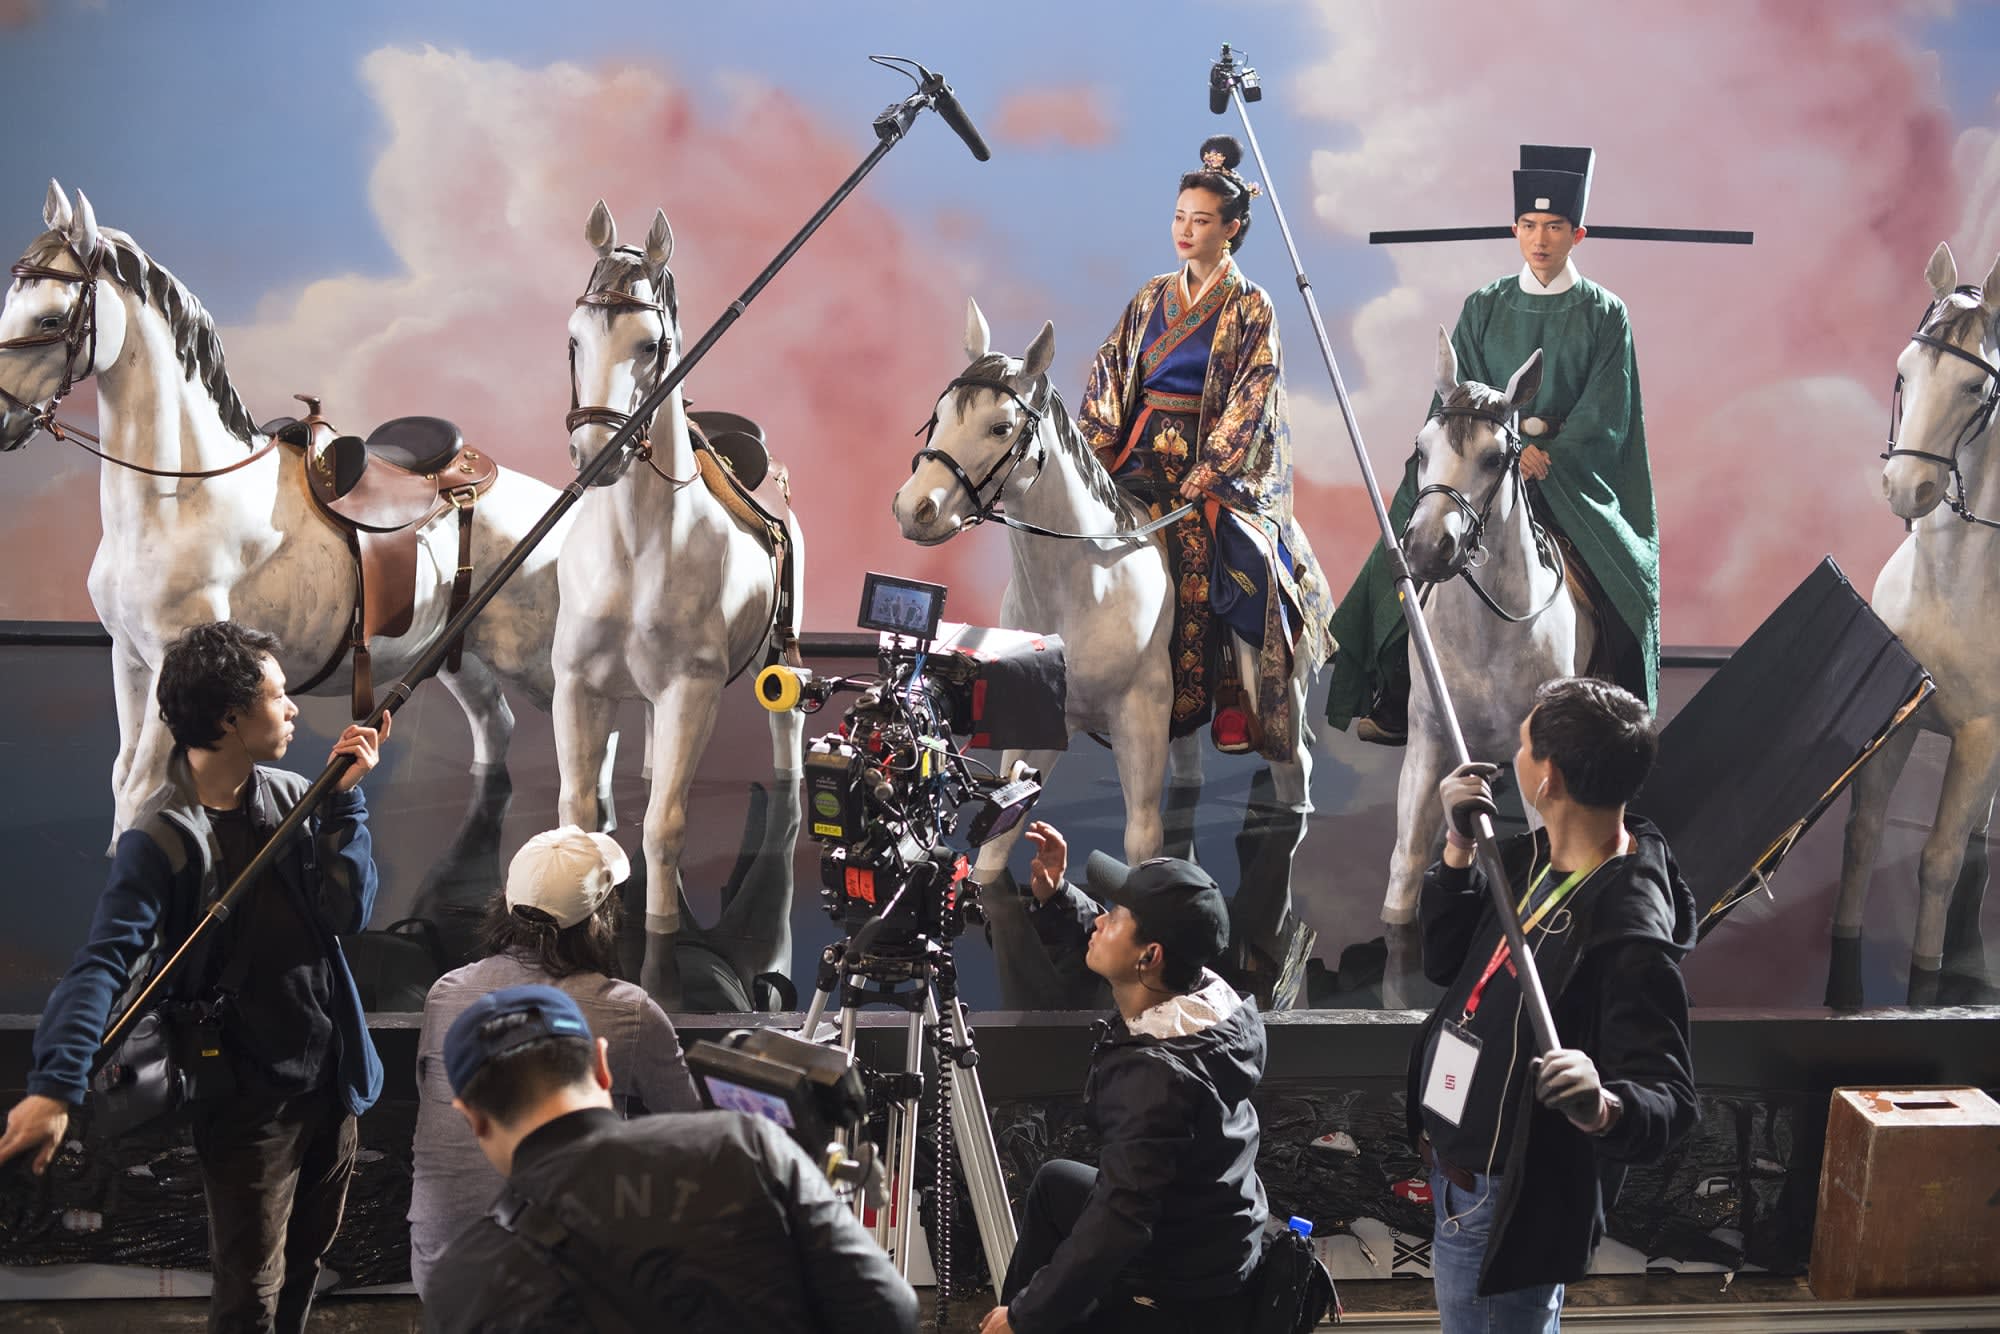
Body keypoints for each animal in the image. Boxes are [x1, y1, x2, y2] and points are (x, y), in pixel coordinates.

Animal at [1, 183, 564, 840]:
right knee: (496, 725)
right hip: (458, 655)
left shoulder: (170, 665)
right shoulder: (128, 659)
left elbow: (141, 793)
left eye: (50, 319)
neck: (180, 500)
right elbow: (123, 781)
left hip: (543, 663)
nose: (2, 418)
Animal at [556, 201, 804, 1000]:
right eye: (574, 339)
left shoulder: (690, 692)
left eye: (649, 343)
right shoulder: (577, 686)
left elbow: (665, 829)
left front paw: (660, 943)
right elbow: (579, 813)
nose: (595, 459)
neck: (638, 546)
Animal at [892, 308, 1312, 980]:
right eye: (939, 415)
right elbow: (998, 839)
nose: (915, 509)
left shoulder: (1138, 711)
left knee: (1292, 773)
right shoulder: (1041, 716)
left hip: (1277, 693)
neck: (1085, 584)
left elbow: (1140, 840)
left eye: (1000, 426)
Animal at [1384, 332, 1584, 928]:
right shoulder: (1428, 742)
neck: (1487, 643)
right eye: (1421, 449)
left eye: (1495, 457)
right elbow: (1406, 867)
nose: (1428, 549)